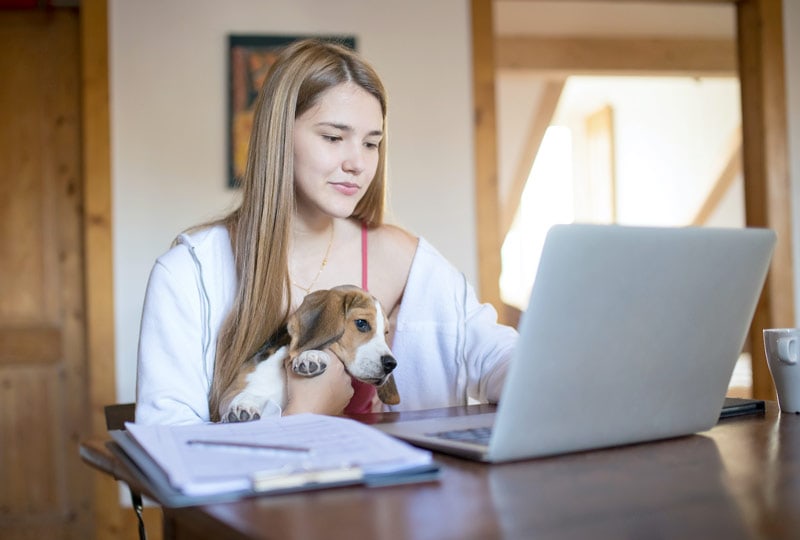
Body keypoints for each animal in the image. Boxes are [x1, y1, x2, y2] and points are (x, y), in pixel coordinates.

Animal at [219, 282, 400, 422]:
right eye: (362, 323)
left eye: (386, 333)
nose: (391, 364)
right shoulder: (229, 394)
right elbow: (244, 395)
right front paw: (245, 404)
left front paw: (311, 356)